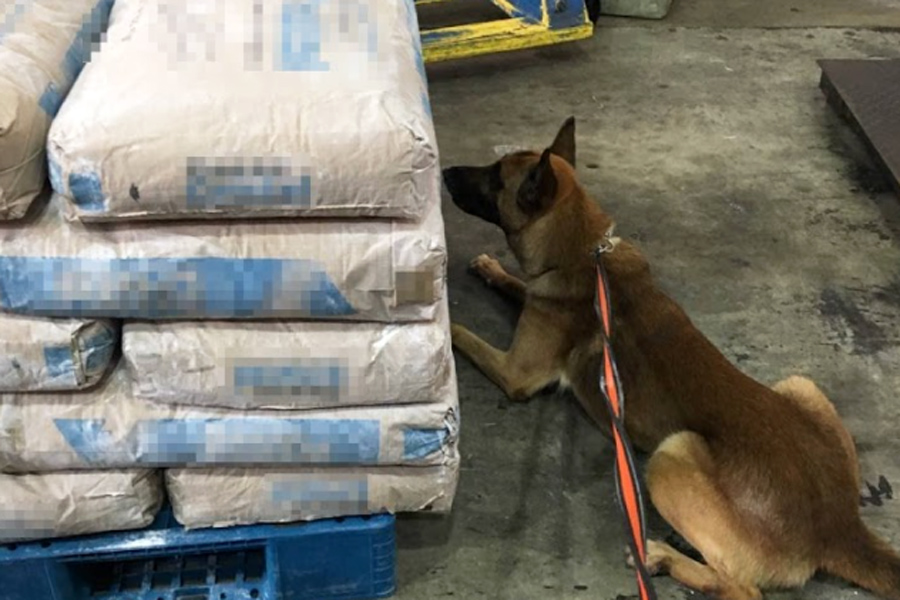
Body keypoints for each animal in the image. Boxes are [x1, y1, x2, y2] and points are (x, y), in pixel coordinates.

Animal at [442, 117, 900, 600]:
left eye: (495, 177)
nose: (446, 171)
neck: (583, 250)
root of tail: (838, 528)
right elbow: (517, 284)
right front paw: (491, 268)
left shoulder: (517, 372)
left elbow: (464, 333)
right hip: (798, 383)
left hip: (671, 454)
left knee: (740, 588)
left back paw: (658, 556)